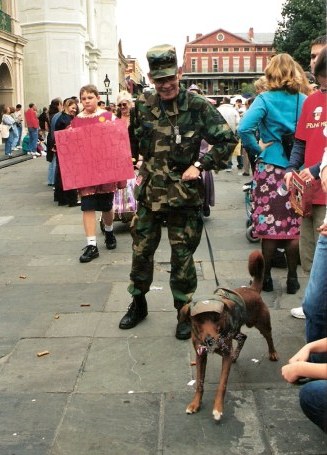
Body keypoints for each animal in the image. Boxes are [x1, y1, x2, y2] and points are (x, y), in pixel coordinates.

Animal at [183, 251, 278, 422]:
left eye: (217, 318)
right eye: (198, 320)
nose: (209, 340)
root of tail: (253, 290)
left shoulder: (225, 355)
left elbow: (222, 384)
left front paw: (218, 409)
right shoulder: (200, 355)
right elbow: (199, 382)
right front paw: (195, 404)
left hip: (262, 323)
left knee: (269, 337)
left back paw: (272, 352)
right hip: (236, 332)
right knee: (243, 337)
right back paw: (236, 354)